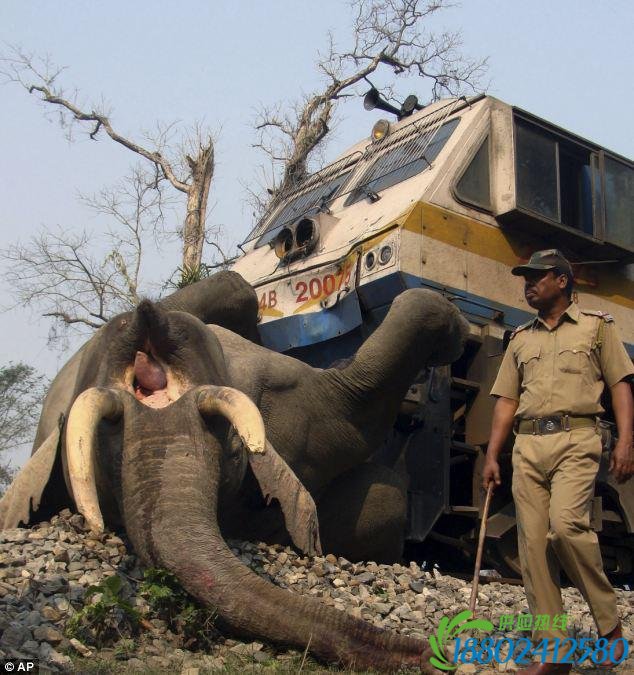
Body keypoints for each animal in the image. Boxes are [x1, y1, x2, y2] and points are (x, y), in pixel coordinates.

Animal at [0, 271, 468, 671]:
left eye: (227, 440)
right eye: (101, 456)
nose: (431, 654)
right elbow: (356, 409)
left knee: (235, 287)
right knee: (386, 499)